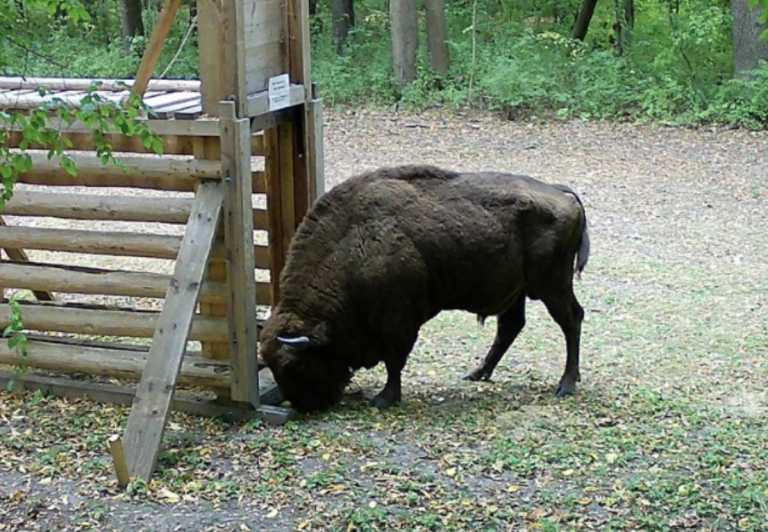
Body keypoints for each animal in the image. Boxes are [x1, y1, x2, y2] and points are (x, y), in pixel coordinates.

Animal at [259, 165, 590, 411]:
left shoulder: (398, 322)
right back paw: (478, 373)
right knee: (510, 327)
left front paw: (384, 399)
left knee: (571, 319)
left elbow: (395, 359)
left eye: (294, 366)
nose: (304, 406)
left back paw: (565, 385)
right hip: (517, 292)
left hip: (552, 285)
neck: (350, 243)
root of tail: (561, 191)